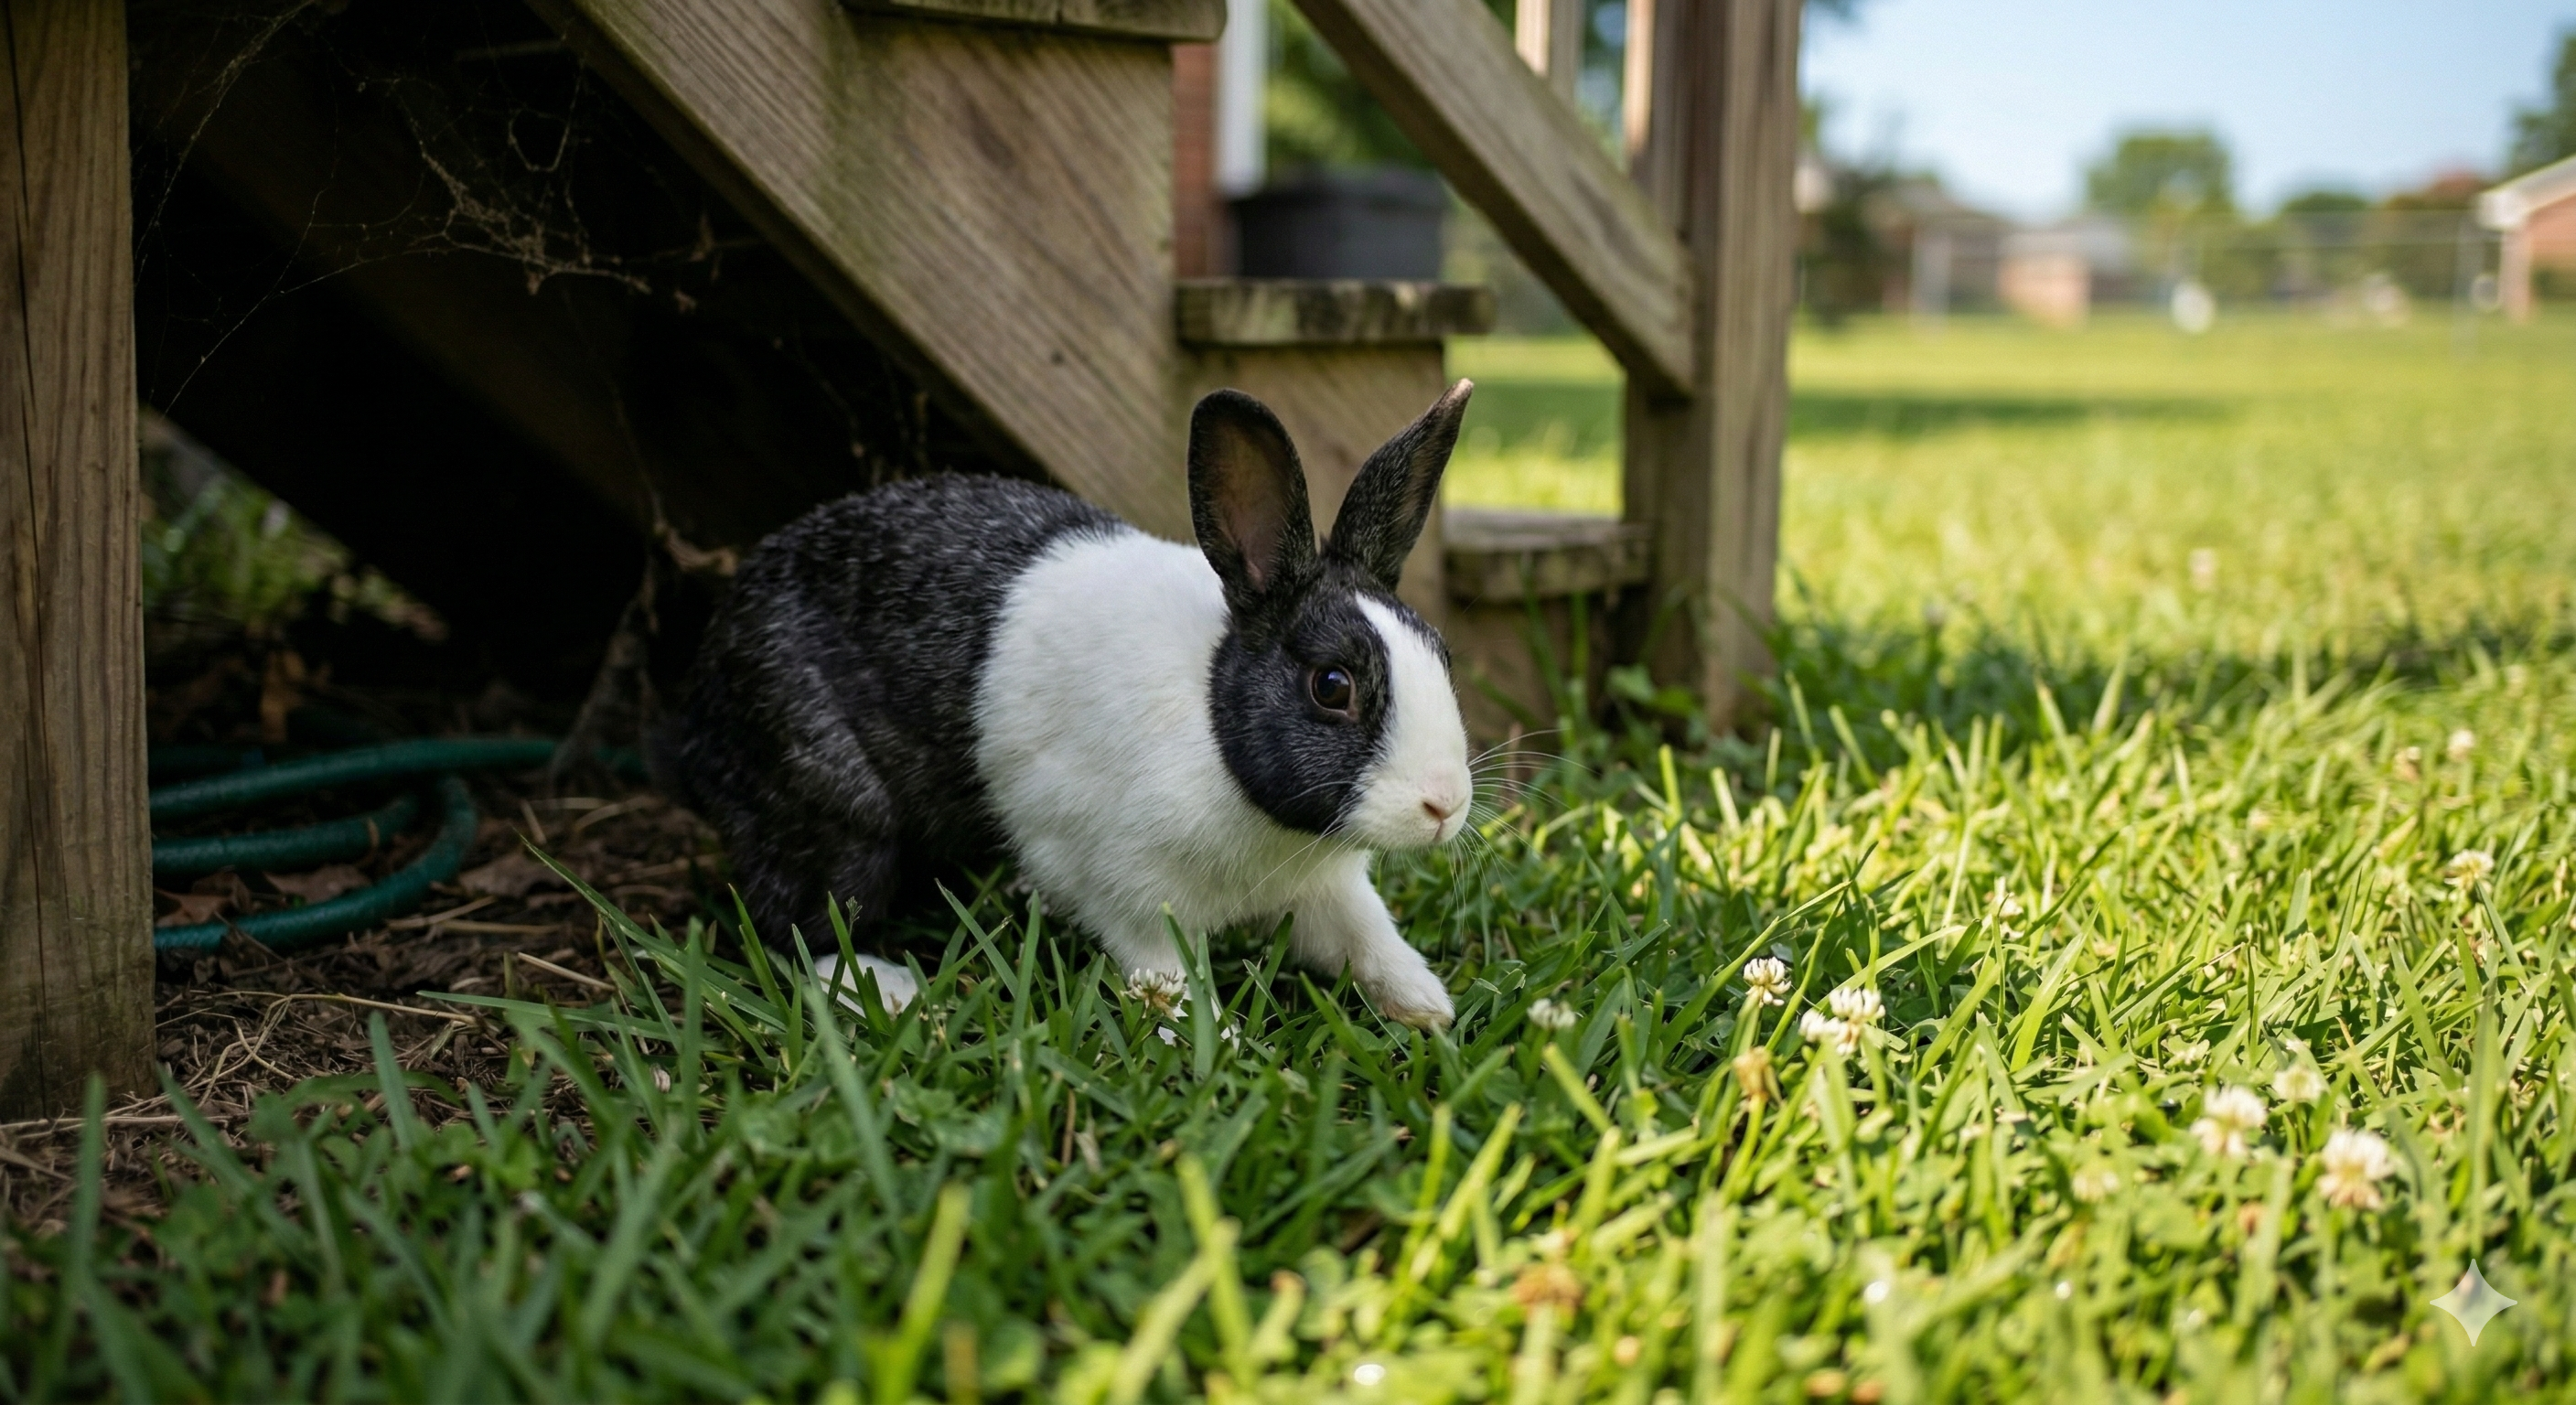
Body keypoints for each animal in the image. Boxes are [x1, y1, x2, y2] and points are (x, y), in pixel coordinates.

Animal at [655, 382, 1477, 1029]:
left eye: (1440, 652)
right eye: (1332, 686)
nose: (1445, 807)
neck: (1215, 719)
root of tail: (698, 702)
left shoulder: (1325, 890)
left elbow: (1366, 935)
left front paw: (1426, 1006)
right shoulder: (1128, 890)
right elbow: (1163, 974)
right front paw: (1213, 1044)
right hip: (832, 807)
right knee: (798, 923)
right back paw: (886, 990)